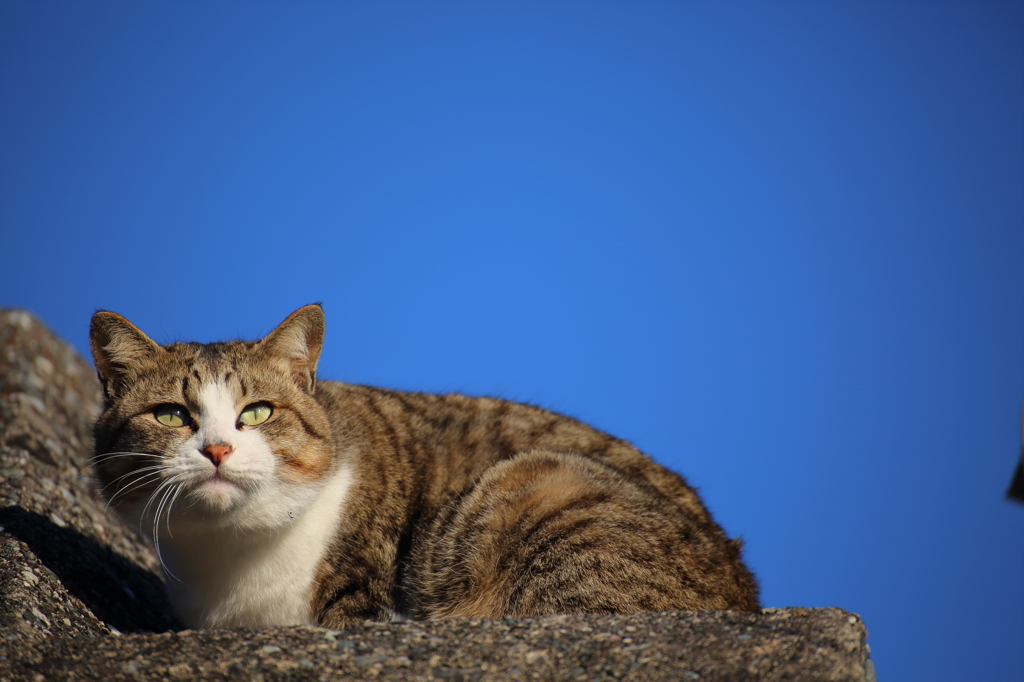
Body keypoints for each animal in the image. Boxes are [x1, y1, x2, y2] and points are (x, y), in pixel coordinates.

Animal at [90, 303, 761, 626]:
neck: (233, 558)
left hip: (540, 484)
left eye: (256, 412)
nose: (218, 449)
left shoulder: (360, 597)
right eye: (172, 415)